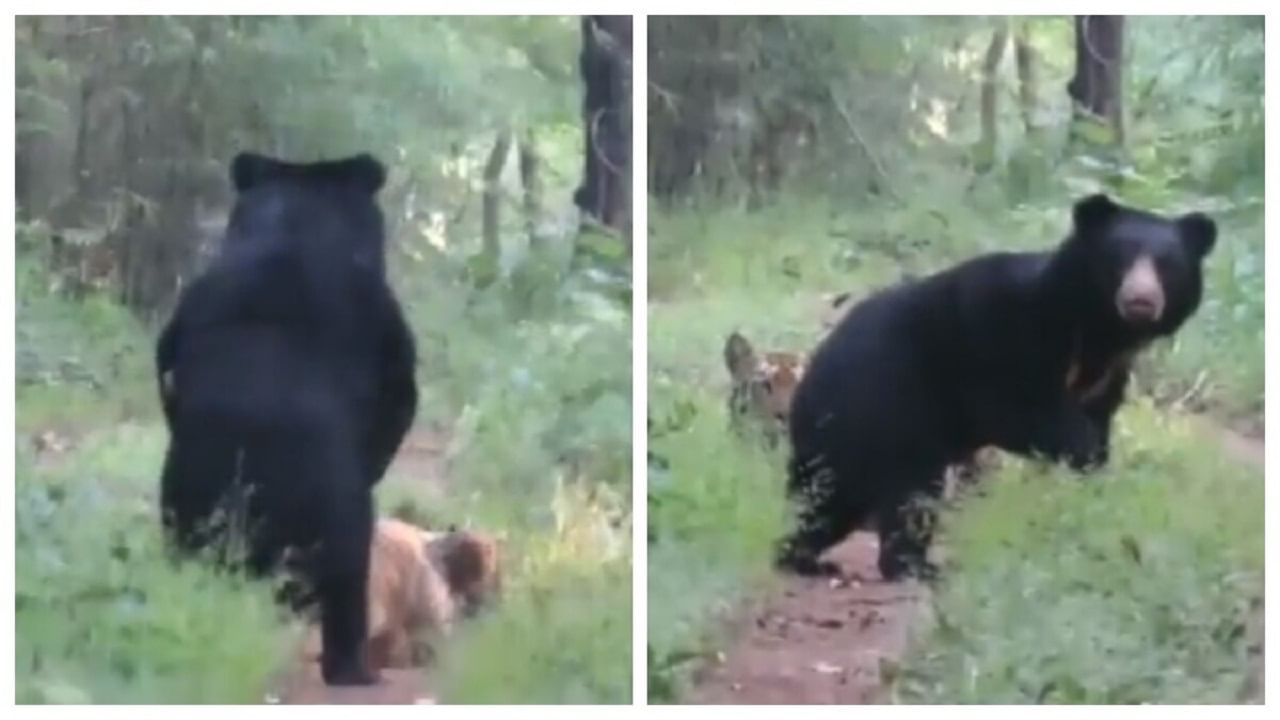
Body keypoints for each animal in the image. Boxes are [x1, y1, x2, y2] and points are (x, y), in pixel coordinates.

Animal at [158, 152, 419, 681]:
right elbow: (398, 399)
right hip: (334, 519)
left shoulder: (191, 304)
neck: (295, 229)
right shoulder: (382, 321)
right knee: (345, 587)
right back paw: (352, 669)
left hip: (185, 502)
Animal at [778, 193, 1218, 579]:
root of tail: (804, 388)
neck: (1094, 326)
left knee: (828, 504)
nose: (1142, 299)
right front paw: (1083, 455)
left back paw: (807, 557)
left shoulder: (1107, 375)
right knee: (899, 495)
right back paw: (910, 566)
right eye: (1121, 257)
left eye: (1167, 265)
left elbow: (1097, 420)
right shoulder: (1003, 337)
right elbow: (1016, 408)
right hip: (878, 411)